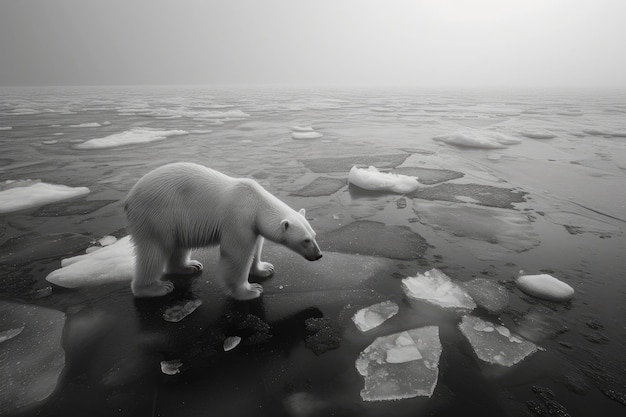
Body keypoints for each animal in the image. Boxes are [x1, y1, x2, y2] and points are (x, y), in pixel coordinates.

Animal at [125, 162, 322, 300]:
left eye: (314, 236)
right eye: (305, 240)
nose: (319, 255)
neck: (256, 202)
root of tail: (129, 199)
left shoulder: (252, 225)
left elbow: (256, 247)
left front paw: (265, 269)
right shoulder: (238, 219)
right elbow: (236, 254)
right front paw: (250, 290)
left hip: (175, 221)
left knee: (178, 245)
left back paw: (189, 266)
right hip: (157, 215)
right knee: (153, 251)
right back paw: (155, 288)